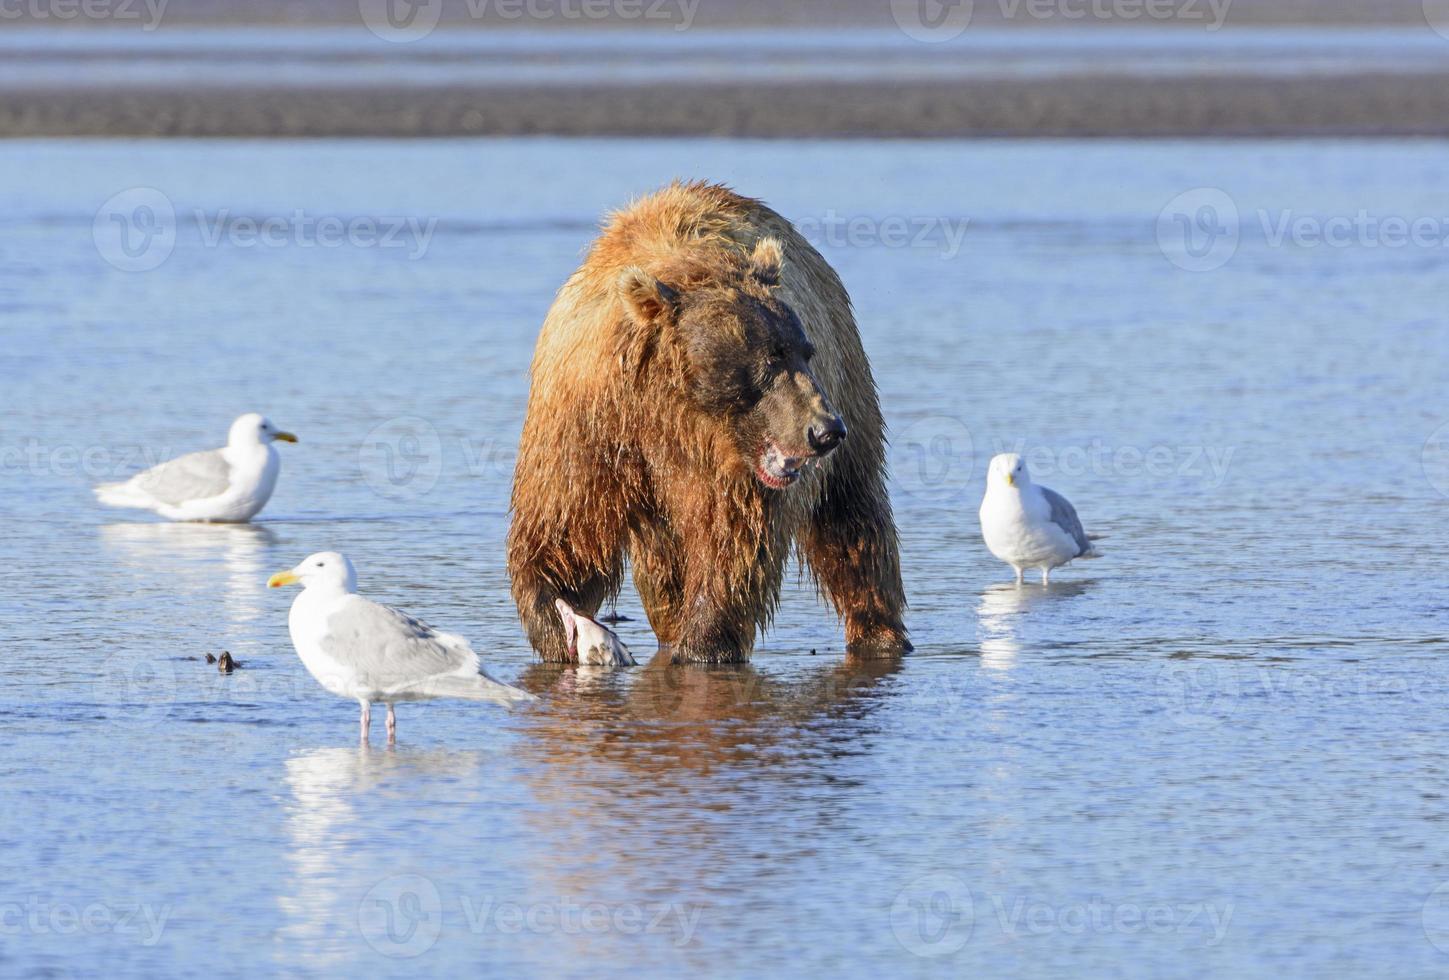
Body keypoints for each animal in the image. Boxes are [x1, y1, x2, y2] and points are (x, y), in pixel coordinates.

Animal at [512, 179, 904, 661]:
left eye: (803, 352)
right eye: (769, 361)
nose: (825, 430)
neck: (672, 412)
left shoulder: (731, 474)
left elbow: (732, 544)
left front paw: (703, 644)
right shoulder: (588, 419)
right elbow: (566, 530)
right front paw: (560, 623)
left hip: (851, 381)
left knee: (851, 517)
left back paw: (879, 631)